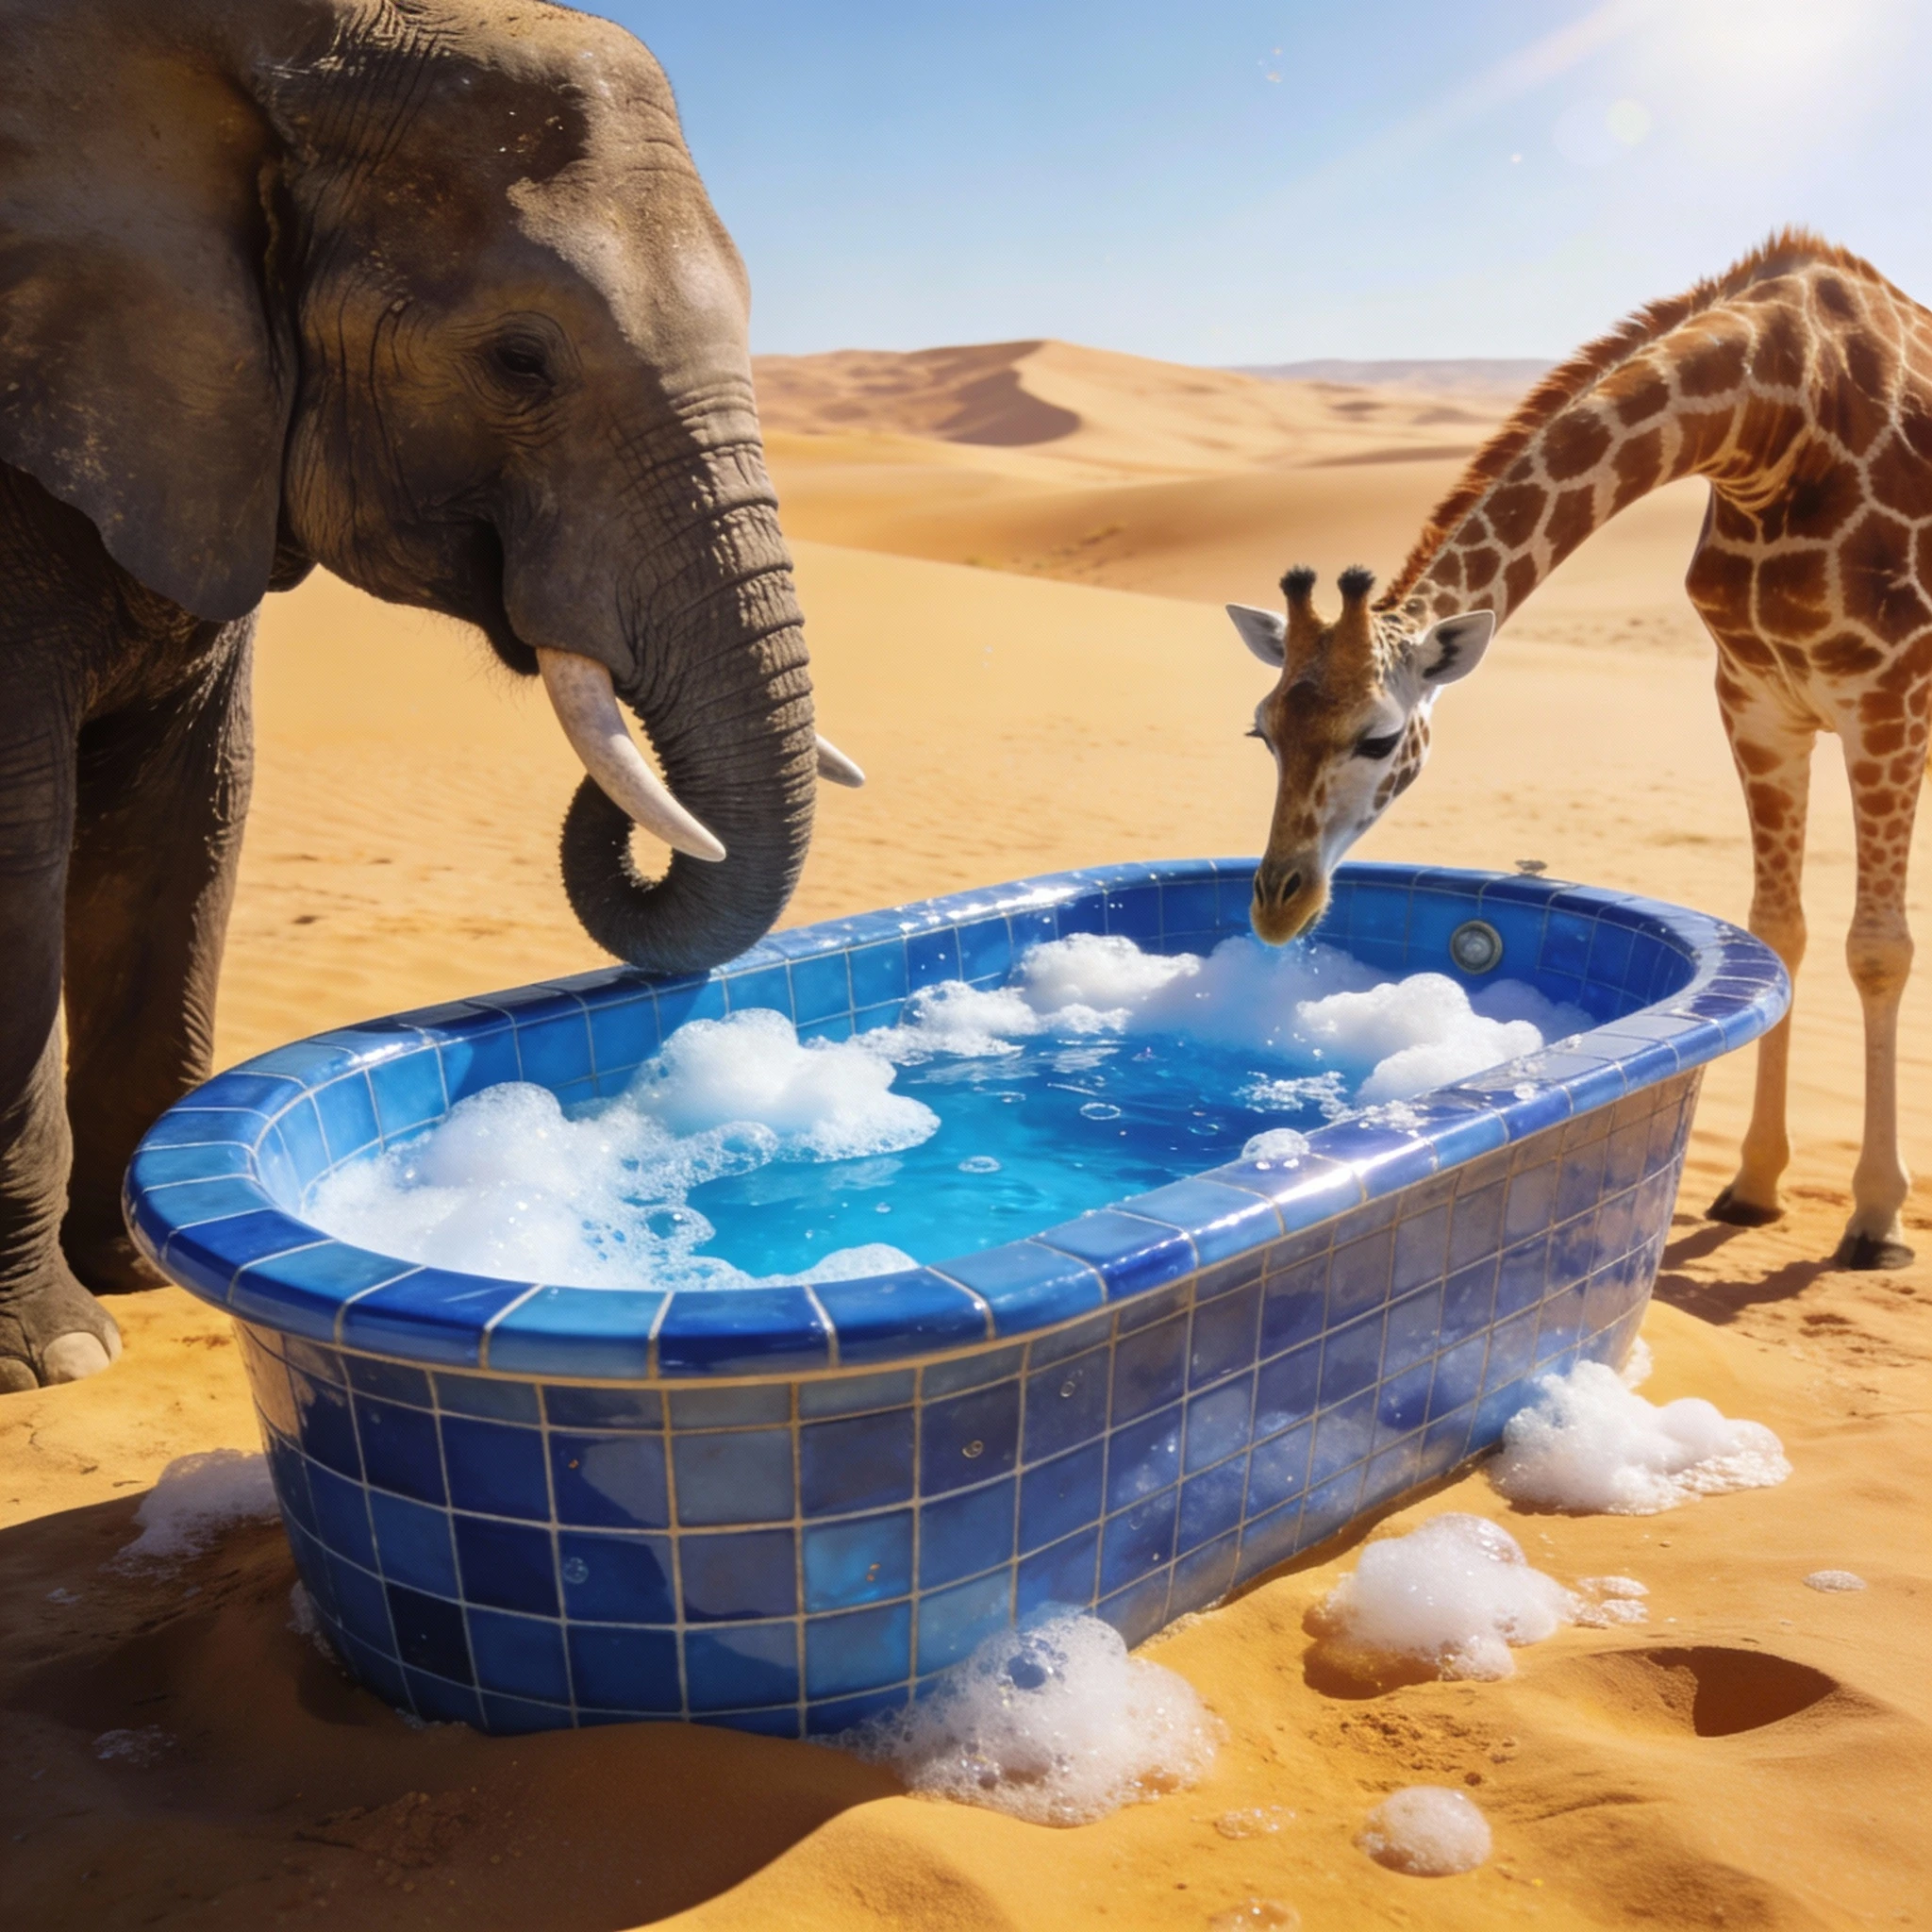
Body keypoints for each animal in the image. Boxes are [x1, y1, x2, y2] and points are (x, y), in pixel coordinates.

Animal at [0, 0, 862, 1389]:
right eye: (518, 360)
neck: (272, 45)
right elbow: (20, 837)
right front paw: (59, 1357)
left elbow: (185, 820)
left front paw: (138, 1267)